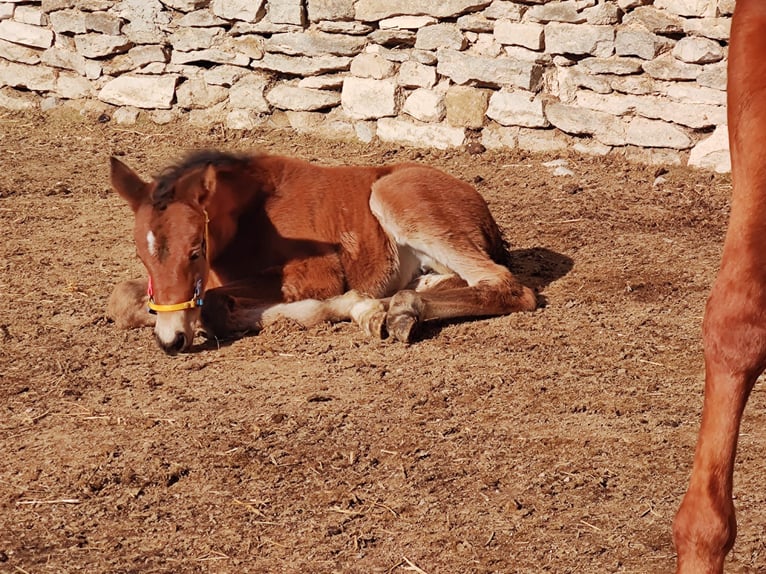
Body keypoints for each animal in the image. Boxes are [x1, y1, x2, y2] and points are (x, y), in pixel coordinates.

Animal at [108, 151, 536, 354]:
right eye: (143, 256)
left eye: (196, 250)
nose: (171, 341)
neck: (251, 216)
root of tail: (477, 201)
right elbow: (123, 299)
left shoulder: (318, 273)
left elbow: (214, 305)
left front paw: (355, 305)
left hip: (395, 198)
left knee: (506, 284)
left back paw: (398, 310)